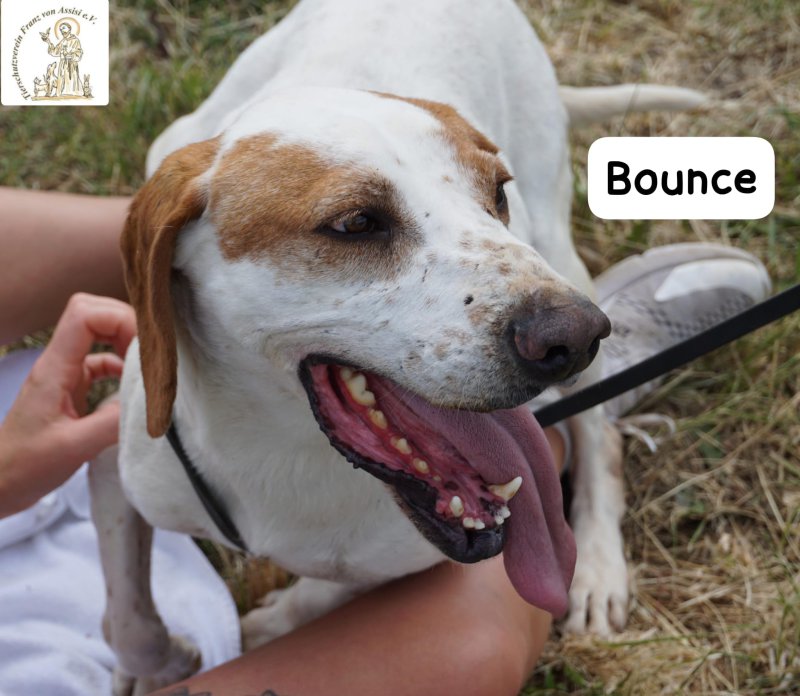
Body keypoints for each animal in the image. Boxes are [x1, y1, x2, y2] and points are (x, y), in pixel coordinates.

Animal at [89, 0, 704, 690]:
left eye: (496, 194)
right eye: (356, 223)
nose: (575, 337)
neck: (281, 454)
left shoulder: (403, 564)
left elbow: (319, 594)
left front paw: (264, 629)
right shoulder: (118, 468)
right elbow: (128, 604)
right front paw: (152, 666)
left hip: (561, 248)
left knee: (602, 435)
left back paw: (597, 565)